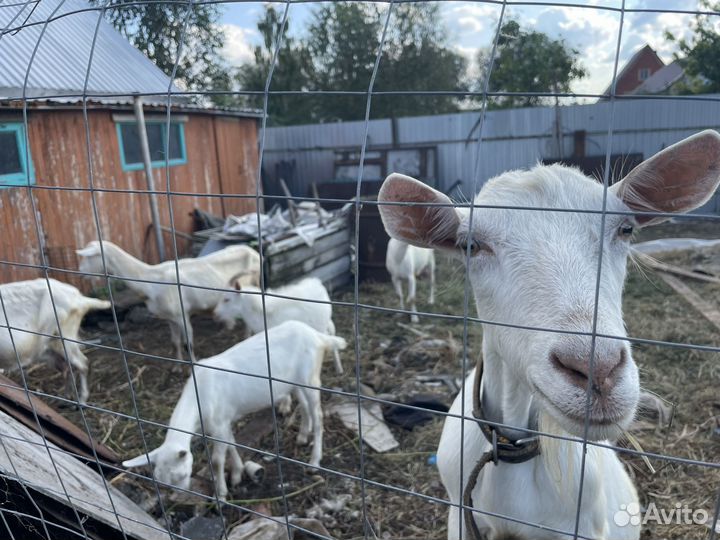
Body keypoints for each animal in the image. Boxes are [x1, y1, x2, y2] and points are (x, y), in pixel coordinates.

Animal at [76, 241, 260, 360]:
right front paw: (177, 366)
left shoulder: (181, 314)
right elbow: (175, 342)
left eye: (88, 257)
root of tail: (252, 251)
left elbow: (188, 344)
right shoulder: (169, 317)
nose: (80, 271)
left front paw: (193, 365)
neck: (151, 280)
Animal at [122, 320, 346, 500]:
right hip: (294, 382)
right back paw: (302, 436)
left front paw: (221, 493)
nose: (180, 495)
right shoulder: (222, 423)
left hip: (310, 378)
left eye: (183, 475)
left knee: (318, 415)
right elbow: (231, 443)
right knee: (305, 407)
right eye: (161, 482)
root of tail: (317, 335)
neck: (200, 394)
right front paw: (238, 474)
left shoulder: (219, 423)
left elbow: (217, 460)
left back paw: (314, 461)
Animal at [213, 277, 343, 375]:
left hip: (320, 325)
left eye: (227, 299)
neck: (260, 312)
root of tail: (317, 284)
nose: (215, 314)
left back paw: (338, 368)